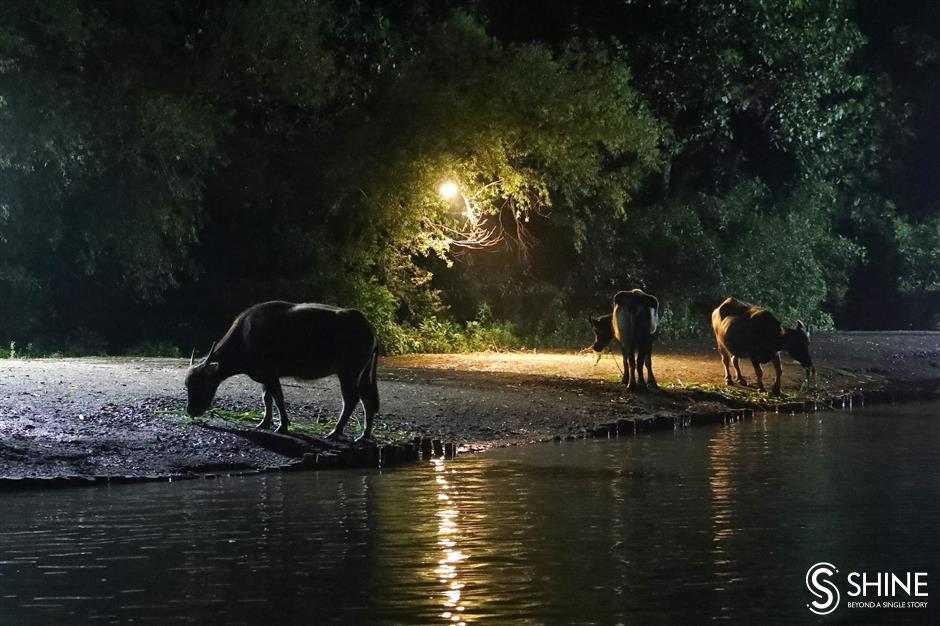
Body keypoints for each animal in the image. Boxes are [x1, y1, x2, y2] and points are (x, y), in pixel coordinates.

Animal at [185, 298, 380, 438]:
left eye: (201, 383)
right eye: (187, 385)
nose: (191, 411)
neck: (245, 337)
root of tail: (368, 328)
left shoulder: (270, 374)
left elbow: (278, 398)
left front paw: (282, 426)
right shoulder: (265, 376)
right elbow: (267, 398)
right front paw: (264, 423)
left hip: (348, 371)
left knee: (351, 399)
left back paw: (336, 431)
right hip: (362, 373)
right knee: (366, 398)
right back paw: (364, 435)